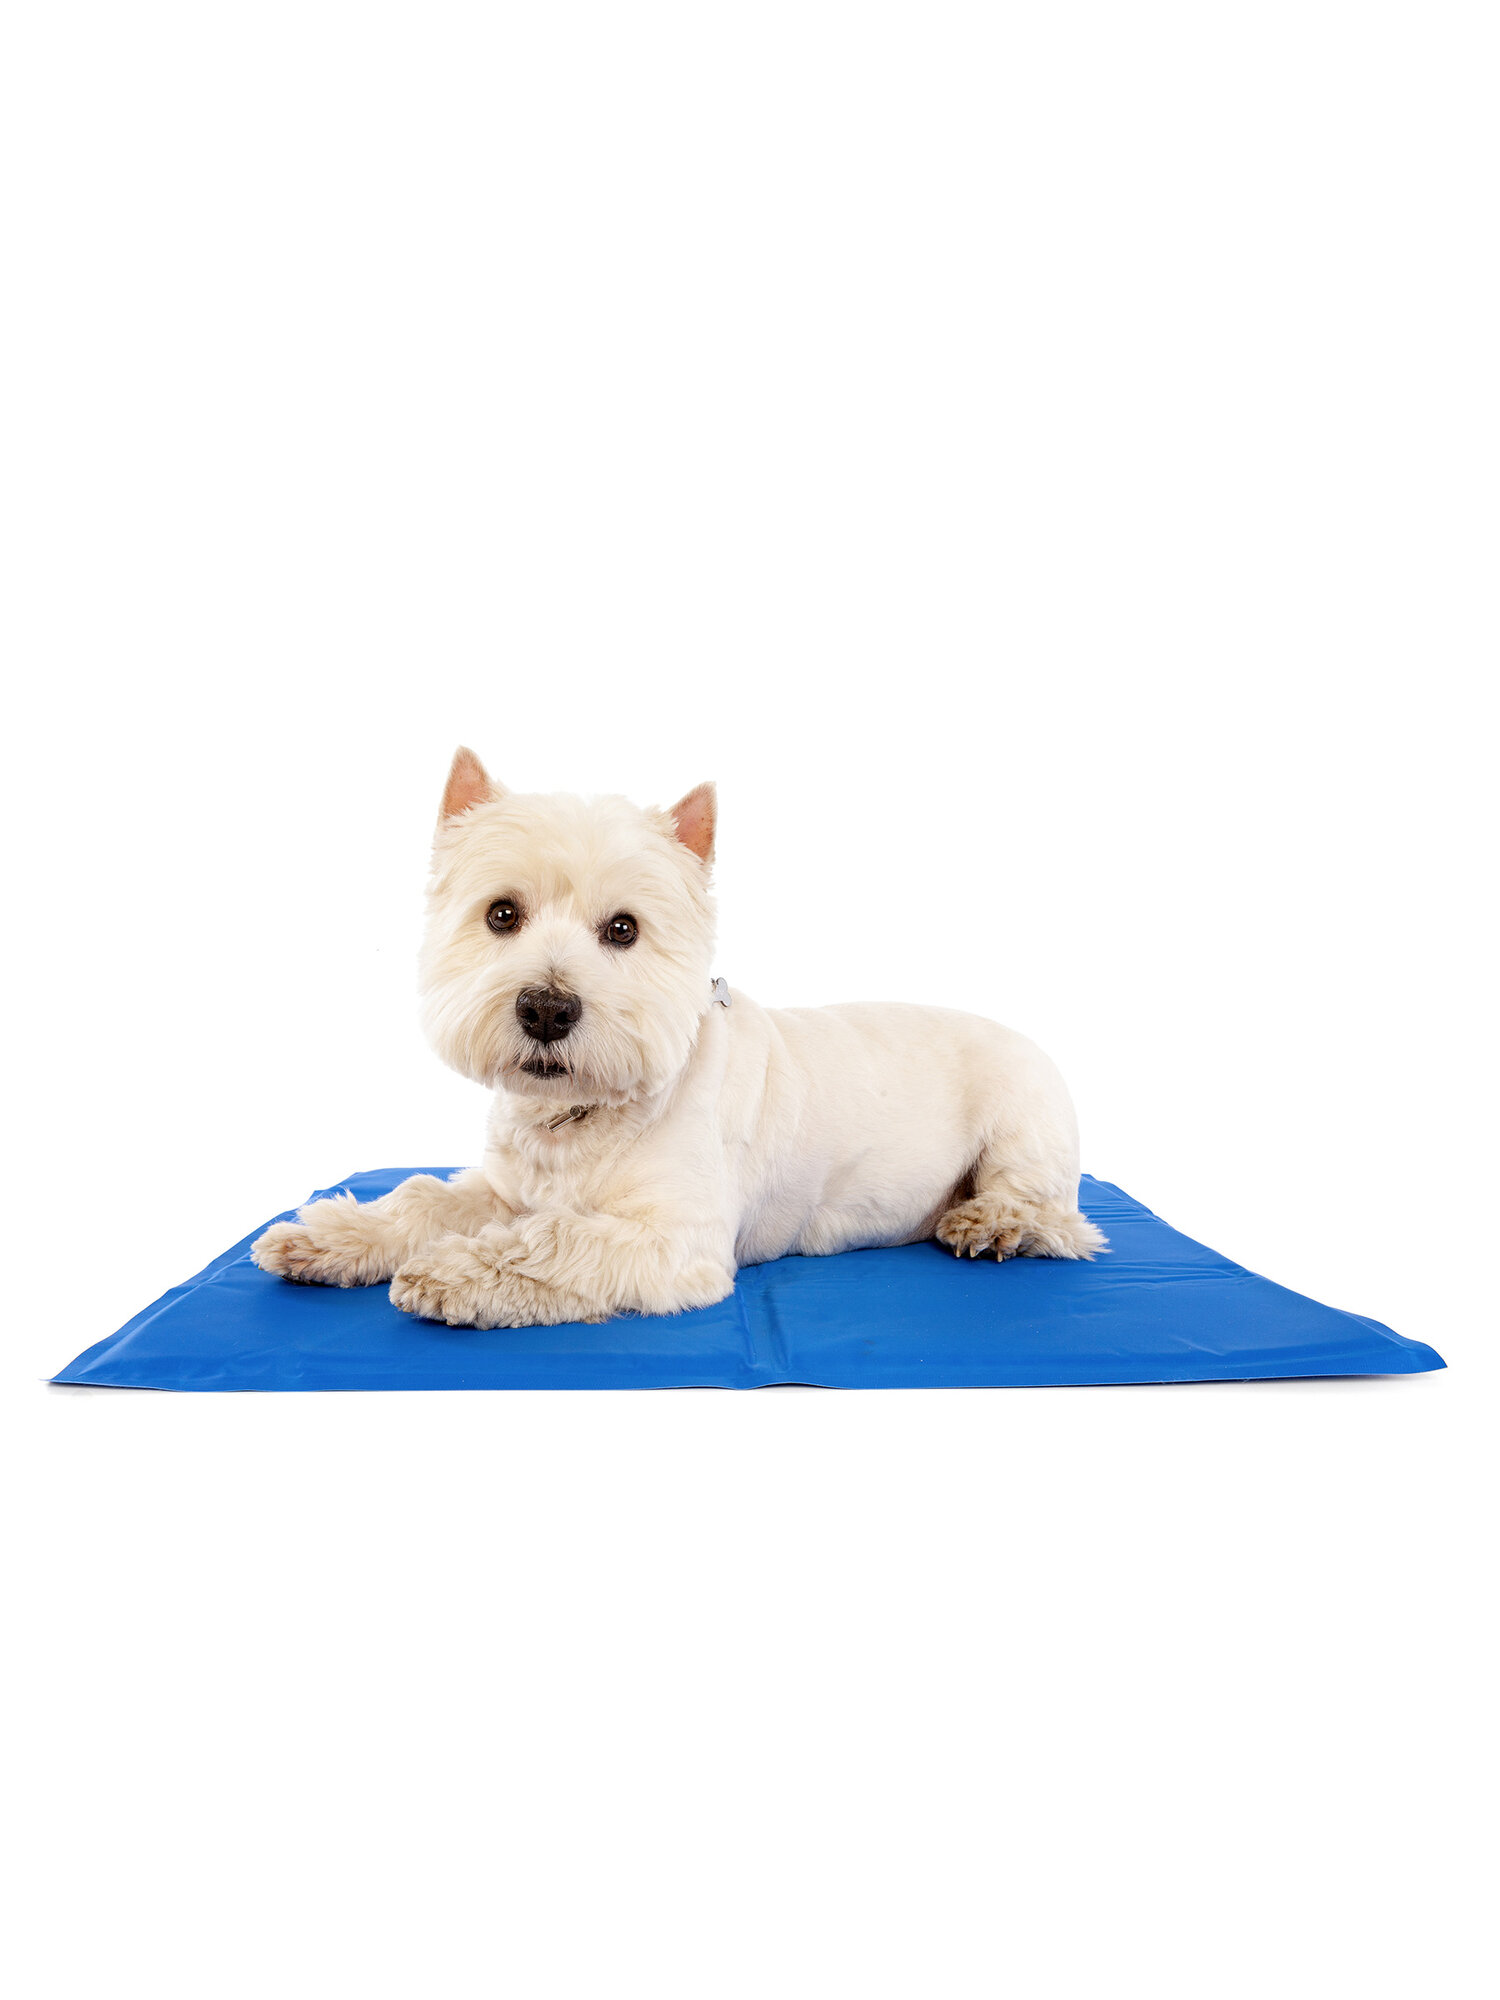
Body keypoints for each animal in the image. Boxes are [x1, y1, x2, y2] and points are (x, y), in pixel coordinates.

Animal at [252, 749, 1105, 1326]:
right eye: (501, 914)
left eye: (623, 929)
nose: (547, 1010)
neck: (581, 1116)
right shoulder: (501, 1189)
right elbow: (424, 1197)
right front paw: (332, 1237)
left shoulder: (677, 1244)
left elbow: (554, 1240)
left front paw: (454, 1274)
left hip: (1023, 1125)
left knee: (1057, 1215)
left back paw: (991, 1224)